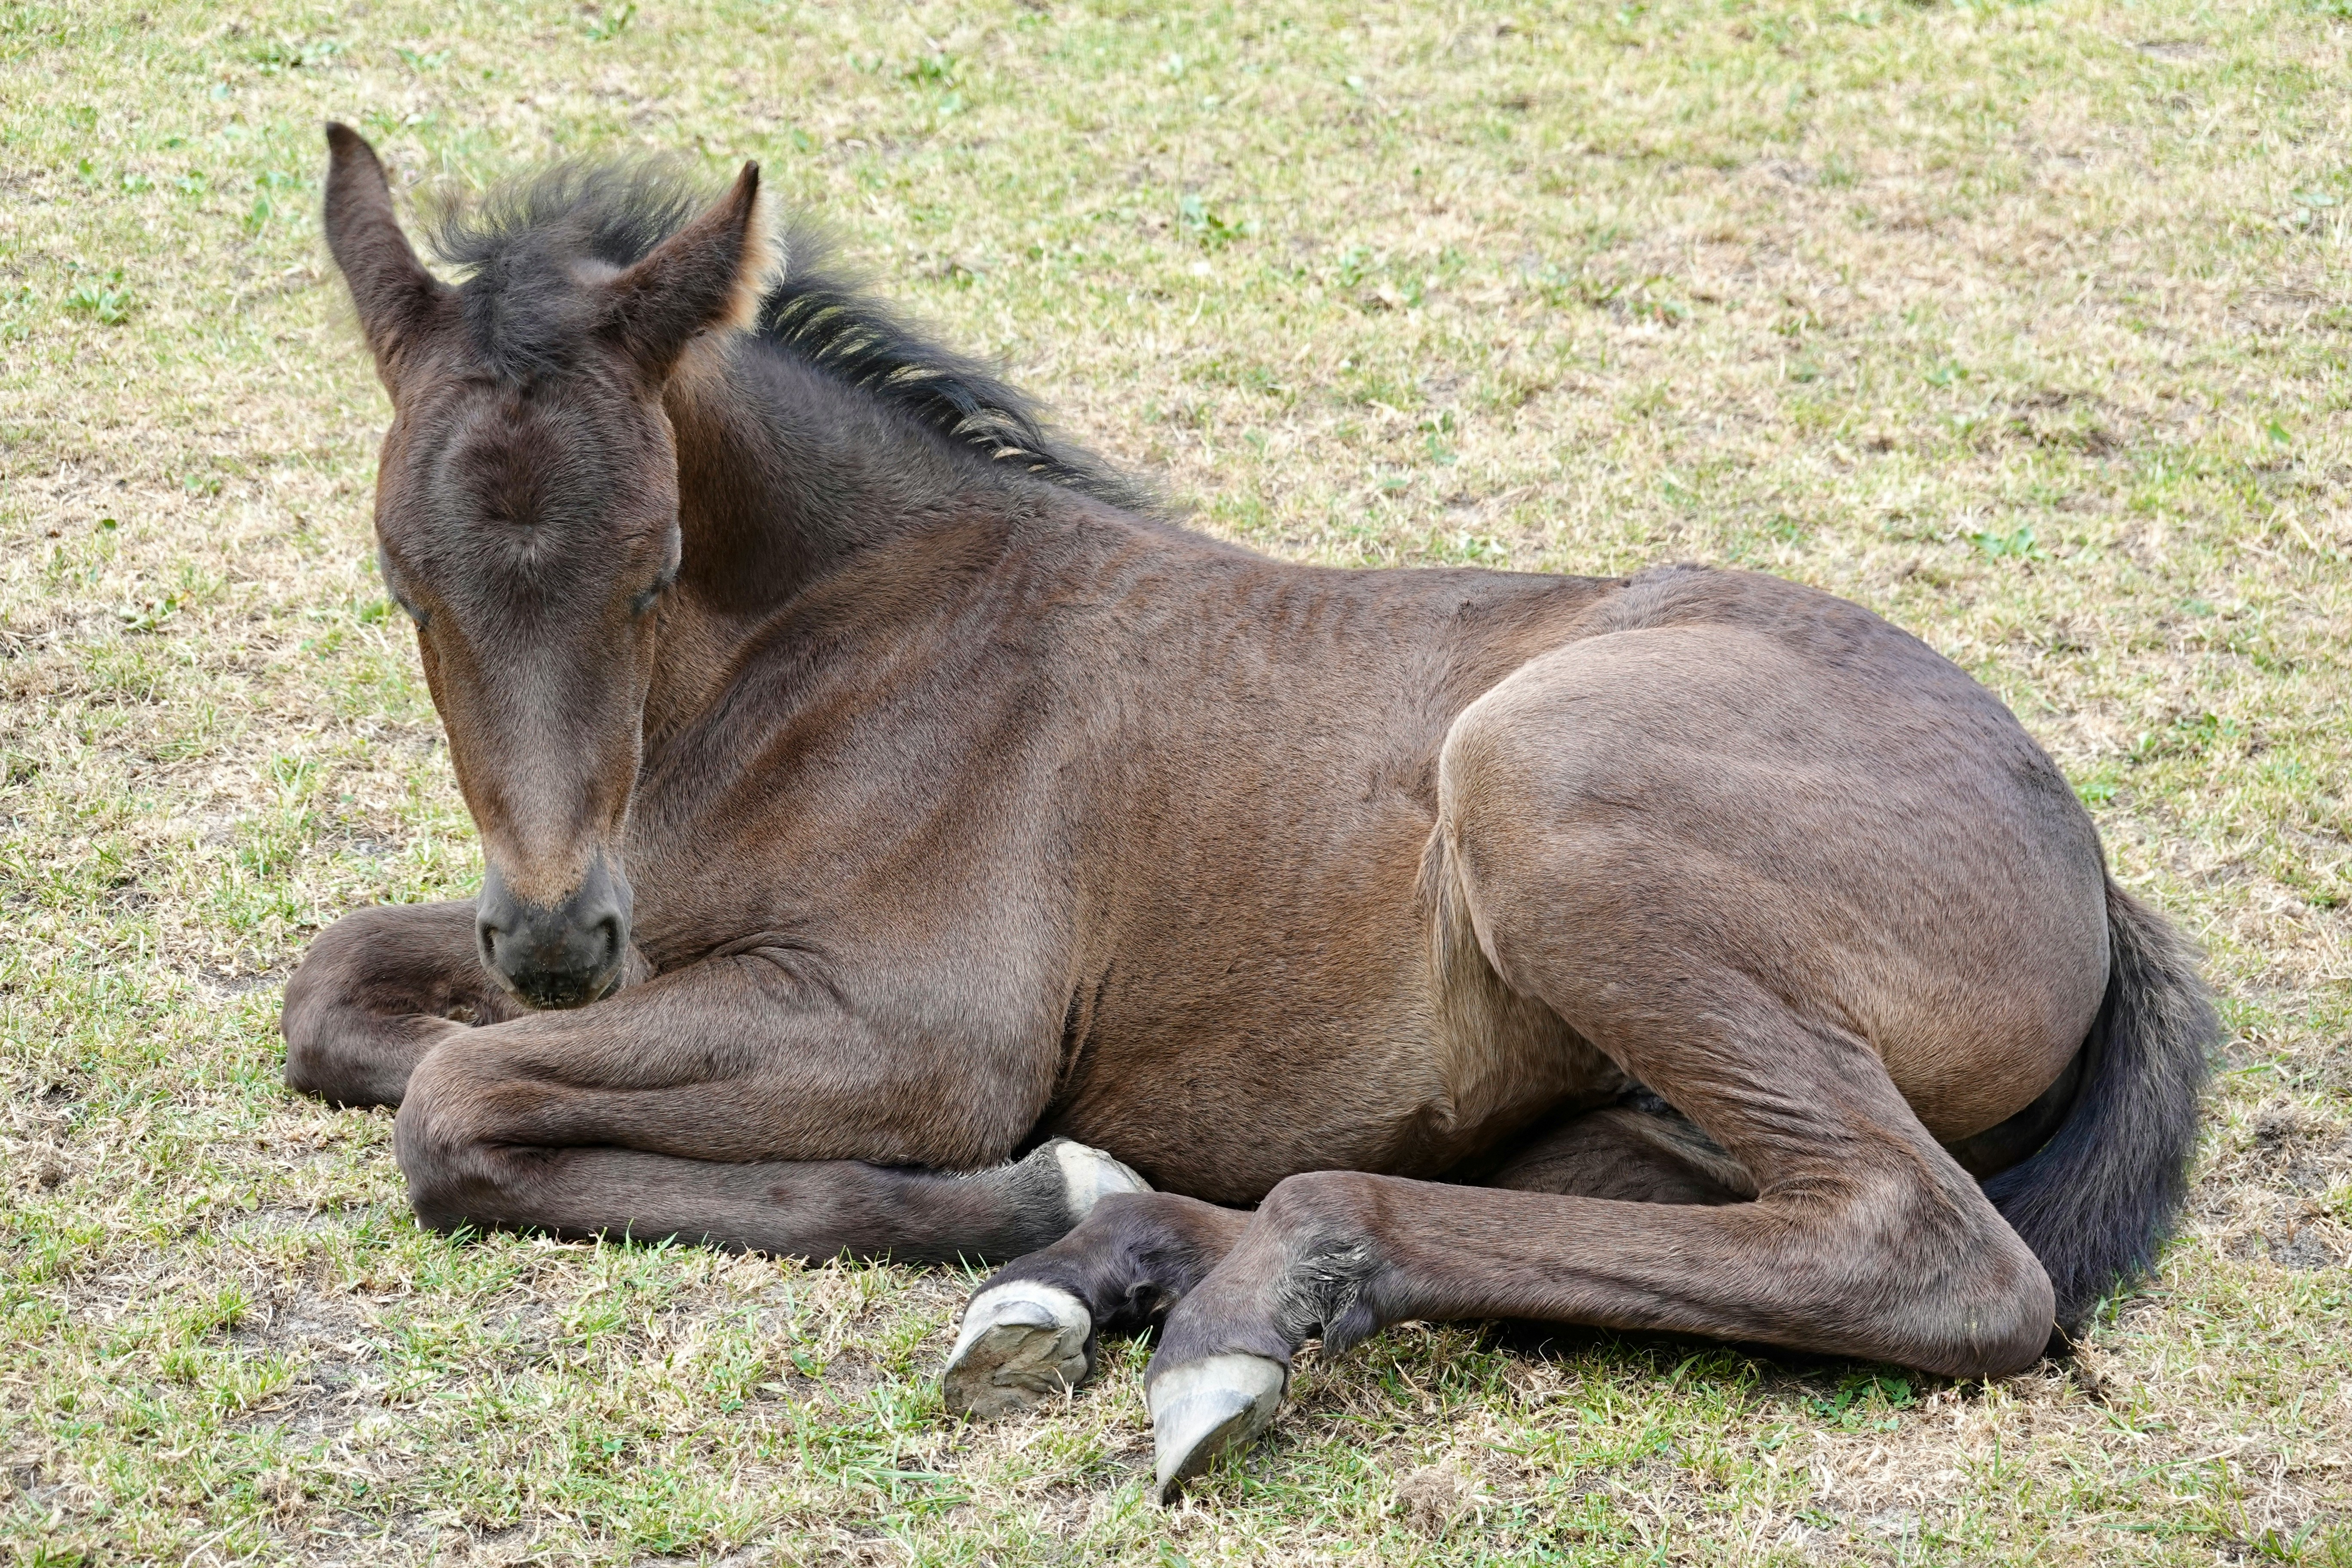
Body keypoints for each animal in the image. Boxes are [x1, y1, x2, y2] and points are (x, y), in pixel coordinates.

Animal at [286, 125, 2213, 1502]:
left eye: (653, 564)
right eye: (400, 577)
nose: (553, 932)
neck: (845, 635)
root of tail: (2092, 869)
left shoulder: (918, 1032)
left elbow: (455, 1105)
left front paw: (1009, 1179)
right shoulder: (645, 936)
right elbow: (332, 997)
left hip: (1539, 792)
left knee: (1926, 1253)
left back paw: (1208, 1297)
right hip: (1628, 1097)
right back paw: (1122, 1270)